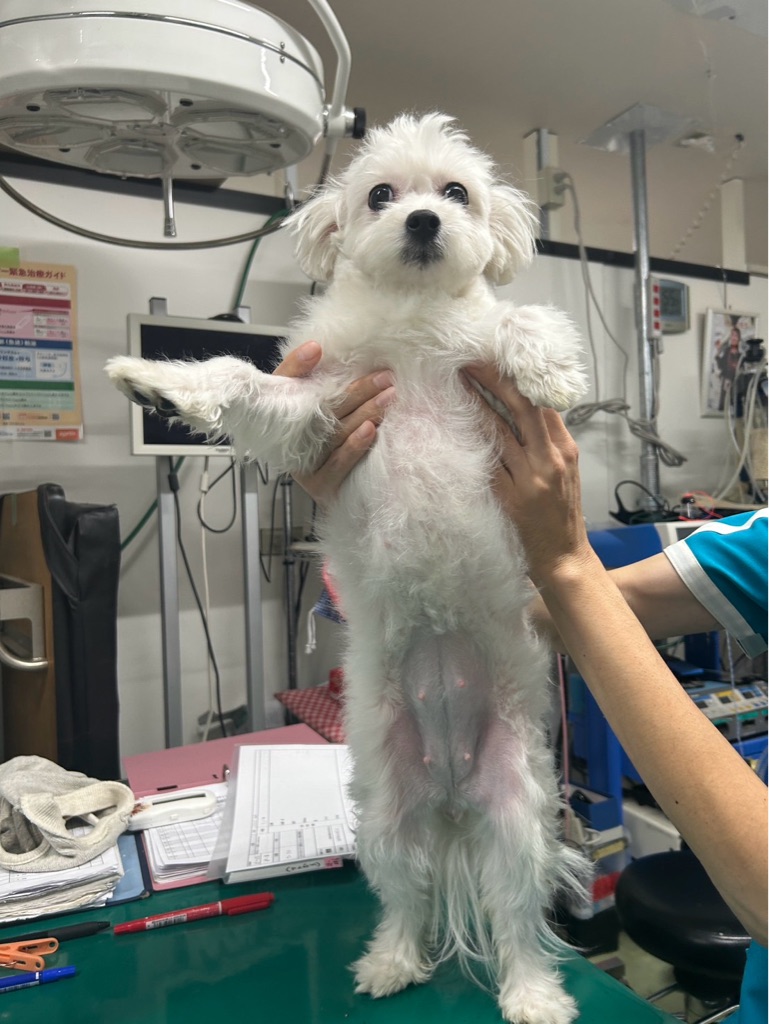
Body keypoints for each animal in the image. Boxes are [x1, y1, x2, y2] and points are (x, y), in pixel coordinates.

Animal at [107, 113, 590, 1023]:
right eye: (380, 195)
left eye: (455, 192)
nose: (424, 222)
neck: (413, 321)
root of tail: (451, 793)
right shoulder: (316, 407)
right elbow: (237, 377)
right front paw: (155, 381)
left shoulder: (479, 364)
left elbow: (525, 320)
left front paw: (549, 368)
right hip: (385, 811)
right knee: (406, 895)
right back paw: (392, 961)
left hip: (519, 814)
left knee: (515, 915)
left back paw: (531, 994)